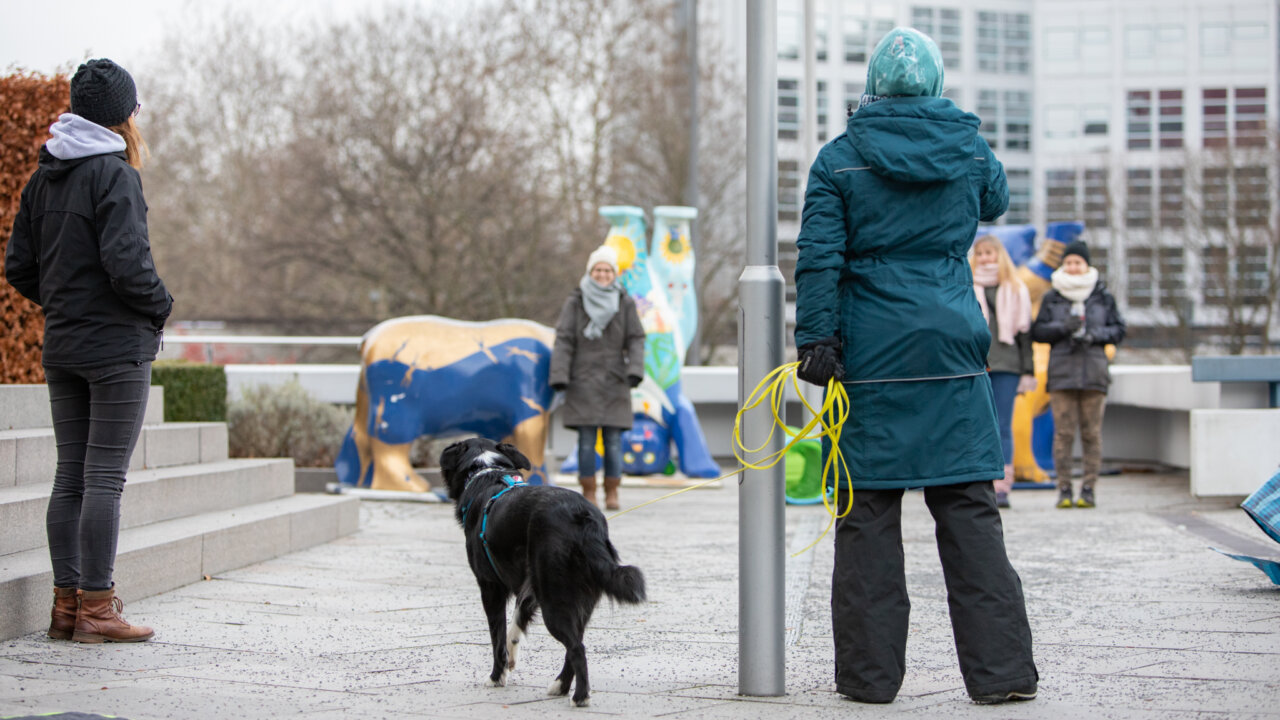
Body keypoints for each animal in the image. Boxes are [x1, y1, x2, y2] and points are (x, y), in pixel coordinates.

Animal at [440, 435, 645, 702]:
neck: (486, 470)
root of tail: (582, 517)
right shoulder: (528, 587)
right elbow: (515, 626)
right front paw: (511, 658)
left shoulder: (490, 588)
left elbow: (497, 636)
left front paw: (497, 677)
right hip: (579, 597)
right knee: (575, 642)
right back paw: (561, 686)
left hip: (553, 598)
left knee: (577, 647)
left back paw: (580, 696)